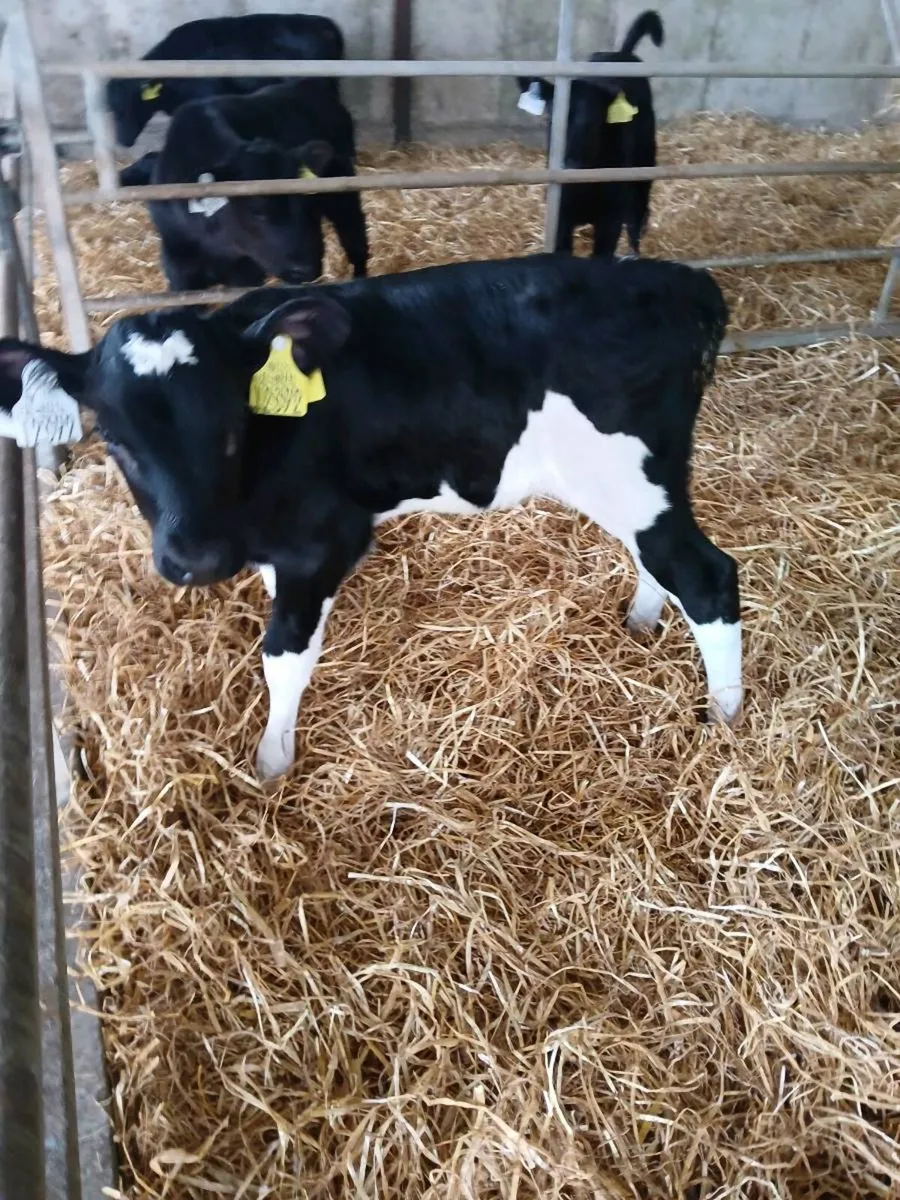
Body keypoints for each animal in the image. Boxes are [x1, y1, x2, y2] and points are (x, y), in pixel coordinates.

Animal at [0, 254, 742, 782]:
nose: (196, 558)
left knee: (707, 577)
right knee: (664, 566)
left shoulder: (324, 542)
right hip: (636, 488)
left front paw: (270, 766)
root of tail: (679, 279)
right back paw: (644, 620)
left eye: (232, 421)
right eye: (114, 437)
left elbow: (284, 656)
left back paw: (725, 721)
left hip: (630, 478)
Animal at [118, 79, 369, 290]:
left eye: (306, 203)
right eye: (256, 211)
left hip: (344, 193)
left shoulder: (246, 272)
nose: (306, 269)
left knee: (355, 236)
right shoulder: (179, 267)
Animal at [517, 9, 664, 257]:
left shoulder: (611, 218)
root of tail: (621, 53)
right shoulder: (560, 218)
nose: (569, 166)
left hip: (644, 163)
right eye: (550, 118)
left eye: (594, 122)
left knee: (638, 216)